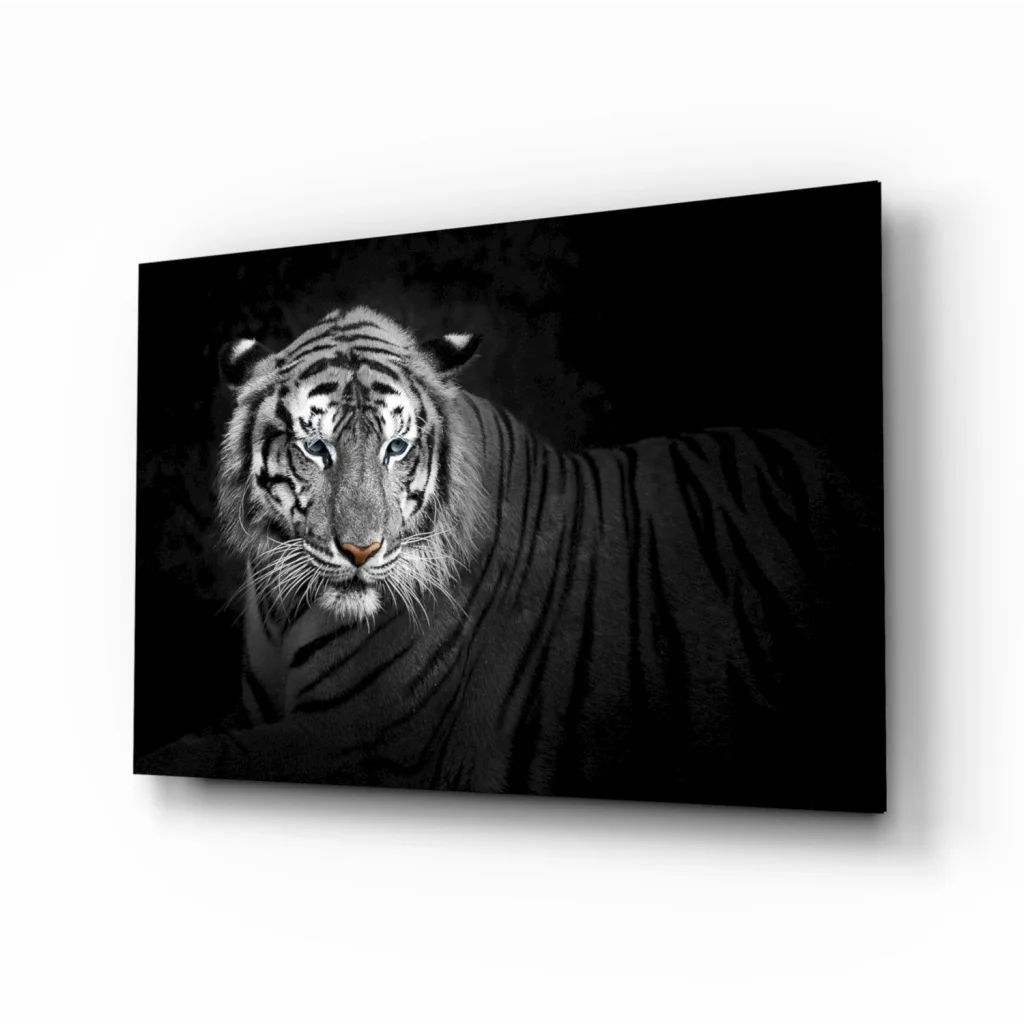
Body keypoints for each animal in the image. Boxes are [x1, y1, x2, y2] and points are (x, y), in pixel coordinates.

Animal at [134, 305, 885, 810]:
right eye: (315, 448)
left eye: (396, 447)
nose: (361, 550)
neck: (285, 609)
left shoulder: (362, 736)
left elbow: (206, 752)